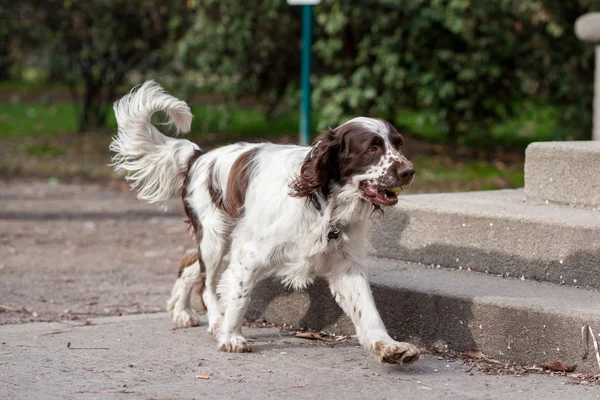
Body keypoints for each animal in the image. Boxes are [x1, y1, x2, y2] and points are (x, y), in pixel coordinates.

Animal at [110, 82, 420, 366]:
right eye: (372, 148)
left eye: (399, 144)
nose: (409, 171)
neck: (322, 202)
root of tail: (199, 156)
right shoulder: (250, 255)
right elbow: (239, 297)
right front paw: (231, 336)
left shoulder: (346, 264)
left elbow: (368, 310)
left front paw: (390, 347)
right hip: (215, 239)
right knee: (207, 284)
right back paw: (214, 321)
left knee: (189, 266)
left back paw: (181, 311)